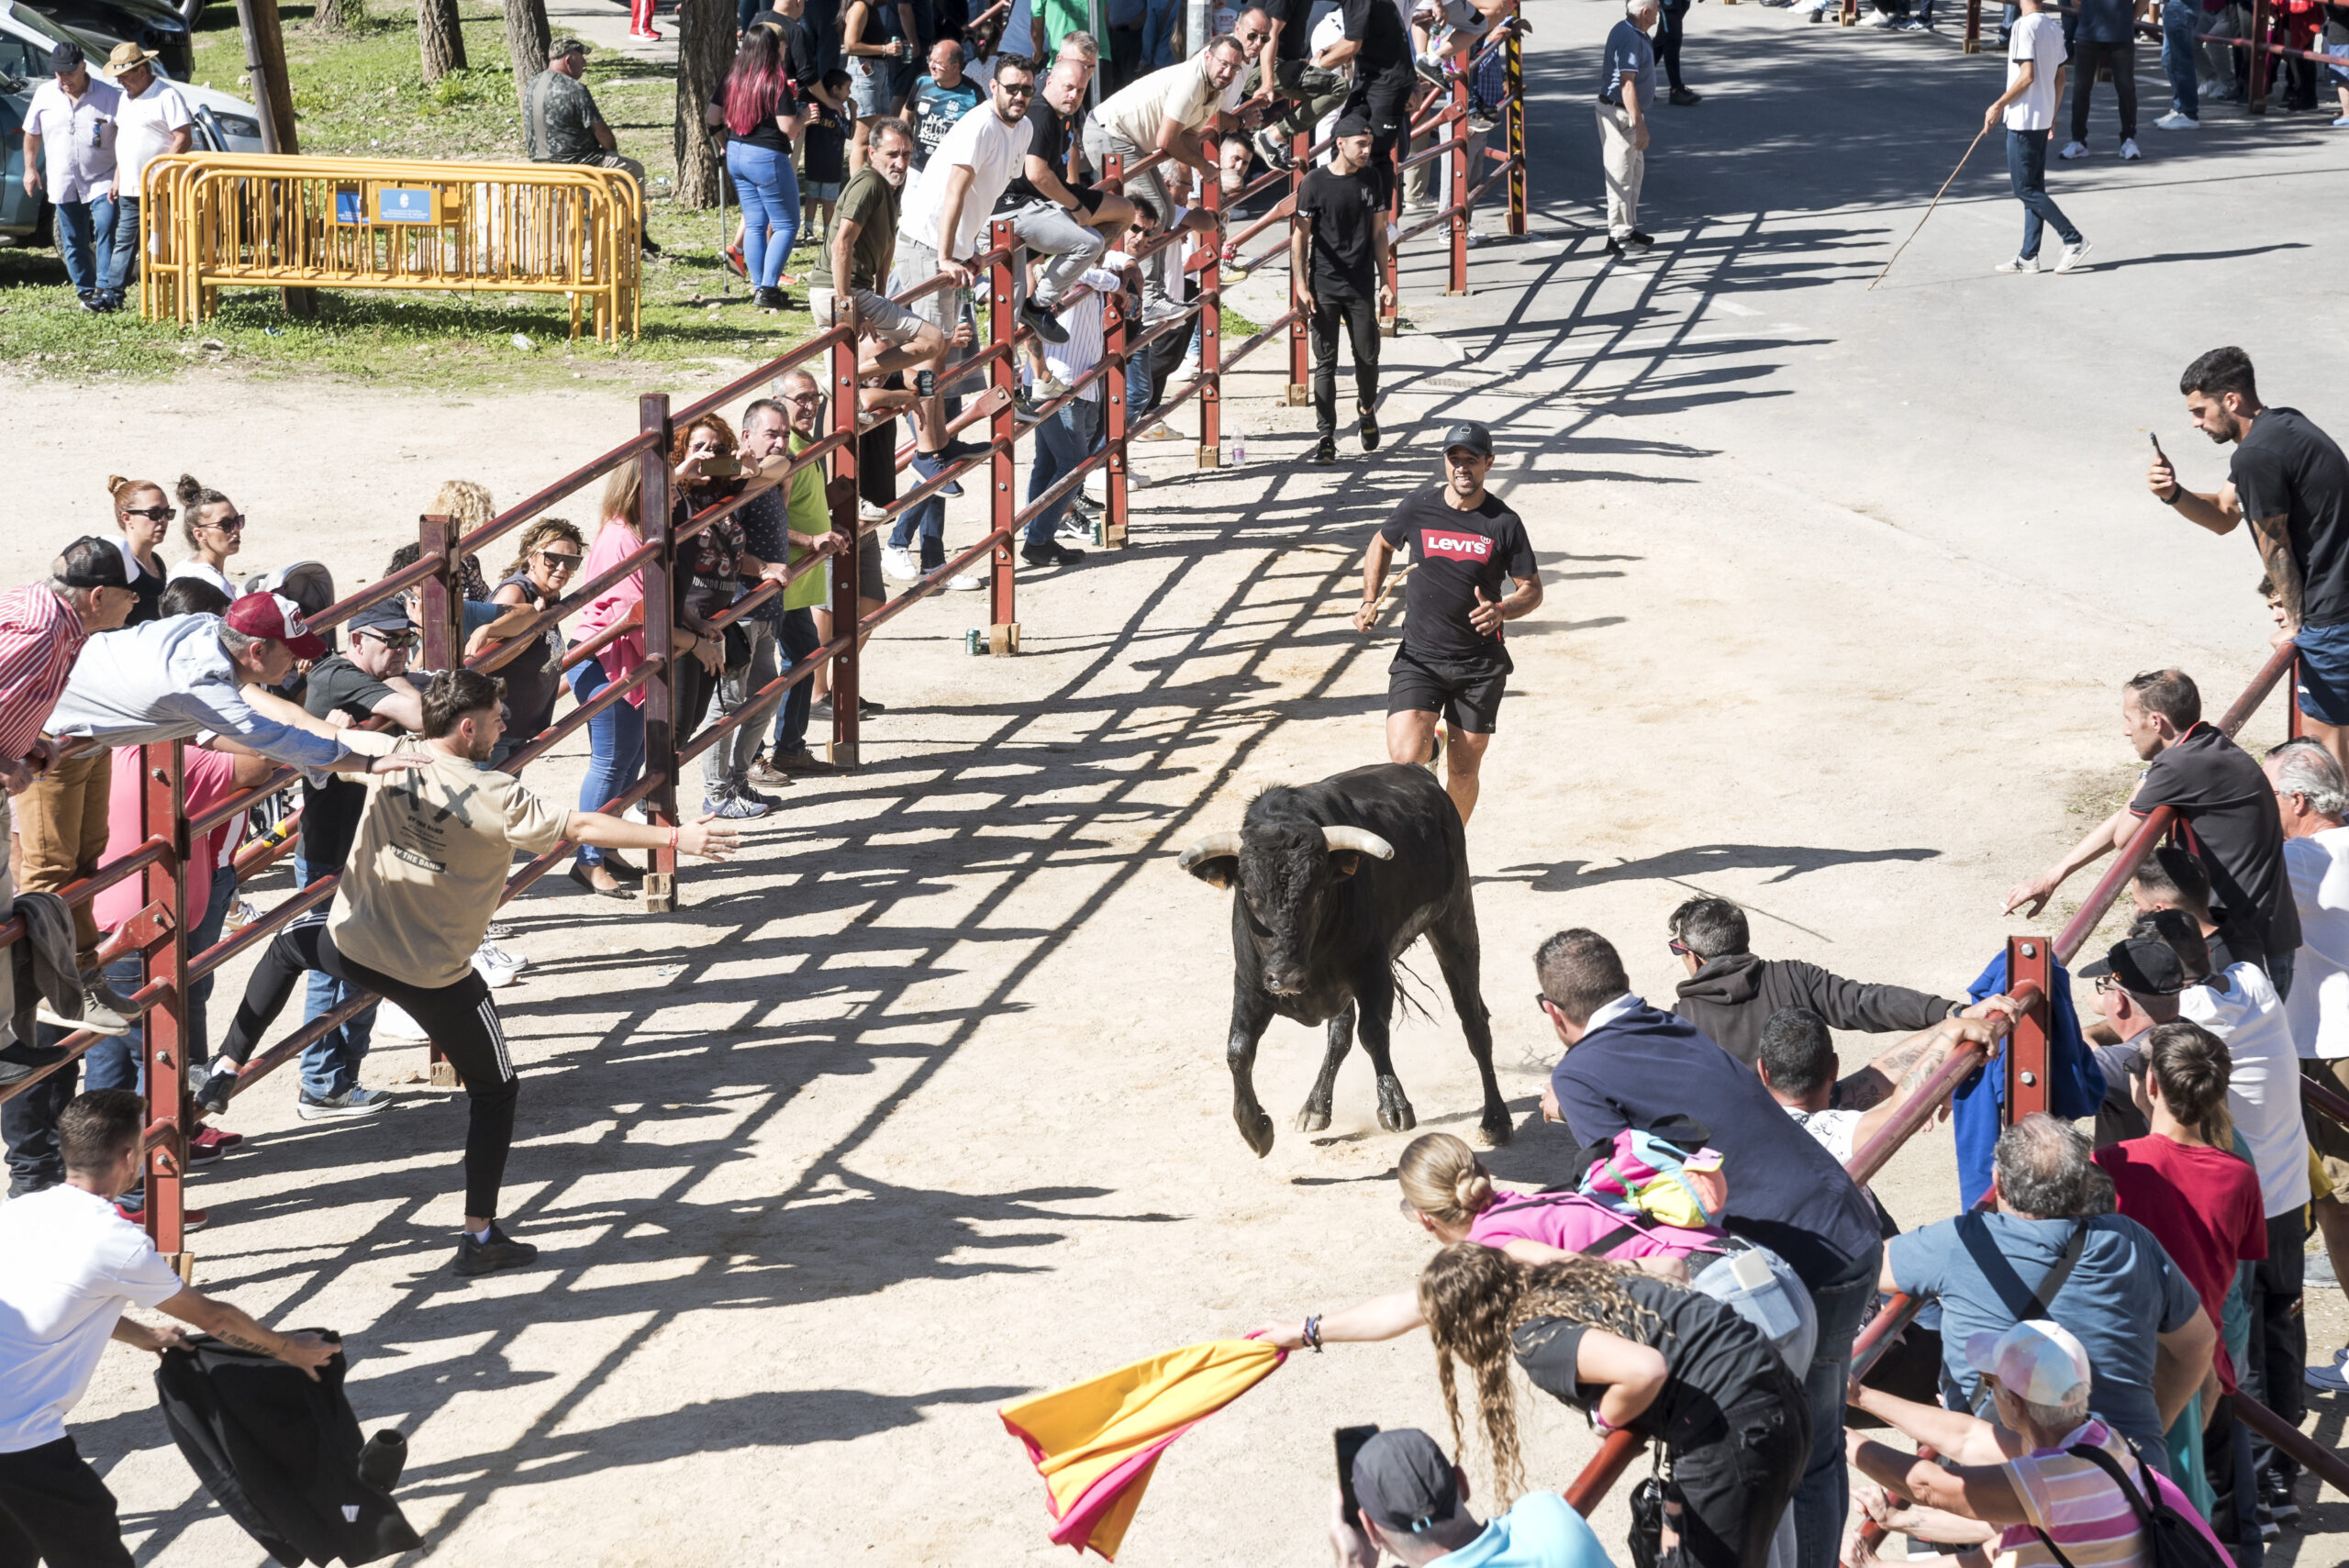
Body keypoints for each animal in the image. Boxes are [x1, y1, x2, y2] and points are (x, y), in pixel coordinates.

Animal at [1169, 765, 1512, 1159]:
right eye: (1250, 895)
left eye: (1318, 892)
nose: (1286, 978)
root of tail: (1421, 774)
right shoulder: (1250, 984)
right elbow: (1238, 1050)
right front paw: (1254, 1127)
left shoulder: (1372, 973)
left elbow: (1373, 1033)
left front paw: (1394, 1105)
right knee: (1340, 1034)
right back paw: (1315, 1107)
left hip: (1455, 920)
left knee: (1473, 1020)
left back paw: (1496, 1120)